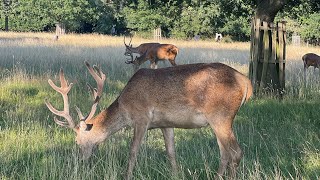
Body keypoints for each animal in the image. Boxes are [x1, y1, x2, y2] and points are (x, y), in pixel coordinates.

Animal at [45, 61, 254, 179]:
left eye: (77, 140)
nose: (81, 160)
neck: (125, 105)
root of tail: (245, 82)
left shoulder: (141, 117)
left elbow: (133, 151)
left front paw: (126, 176)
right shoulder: (165, 123)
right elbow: (171, 152)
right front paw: (175, 175)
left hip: (221, 115)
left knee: (236, 152)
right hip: (217, 121)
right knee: (225, 152)